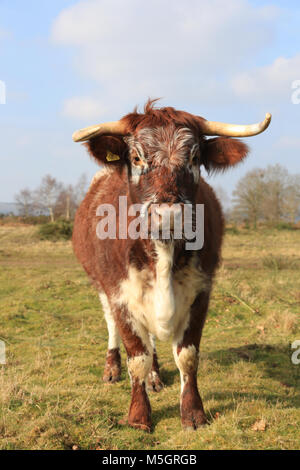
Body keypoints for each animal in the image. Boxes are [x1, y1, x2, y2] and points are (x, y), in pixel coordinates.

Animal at [71, 101, 270, 432]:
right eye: (136, 157)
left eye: (194, 157)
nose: (169, 215)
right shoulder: (120, 293)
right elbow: (136, 357)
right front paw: (138, 416)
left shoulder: (200, 291)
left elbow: (187, 356)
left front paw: (193, 413)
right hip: (99, 284)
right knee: (111, 324)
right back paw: (112, 367)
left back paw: (155, 376)